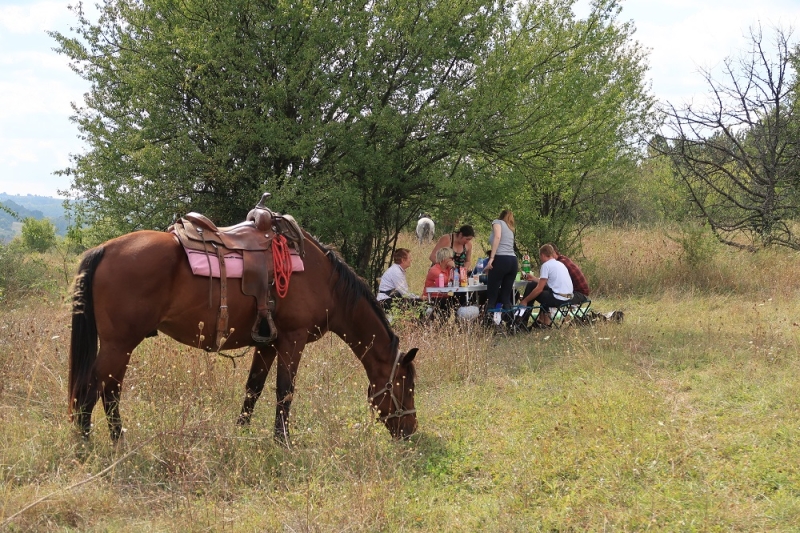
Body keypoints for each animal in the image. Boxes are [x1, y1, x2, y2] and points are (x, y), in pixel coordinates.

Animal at [70, 229, 418, 440]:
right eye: (406, 387)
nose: (411, 430)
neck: (324, 280)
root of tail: (105, 248)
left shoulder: (268, 343)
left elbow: (254, 388)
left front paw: (241, 432)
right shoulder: (293, 339)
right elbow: (284, 391)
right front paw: (282, 441)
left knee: (100, 390)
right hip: (119, 345)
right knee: (97, 390)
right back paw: (97, 444)